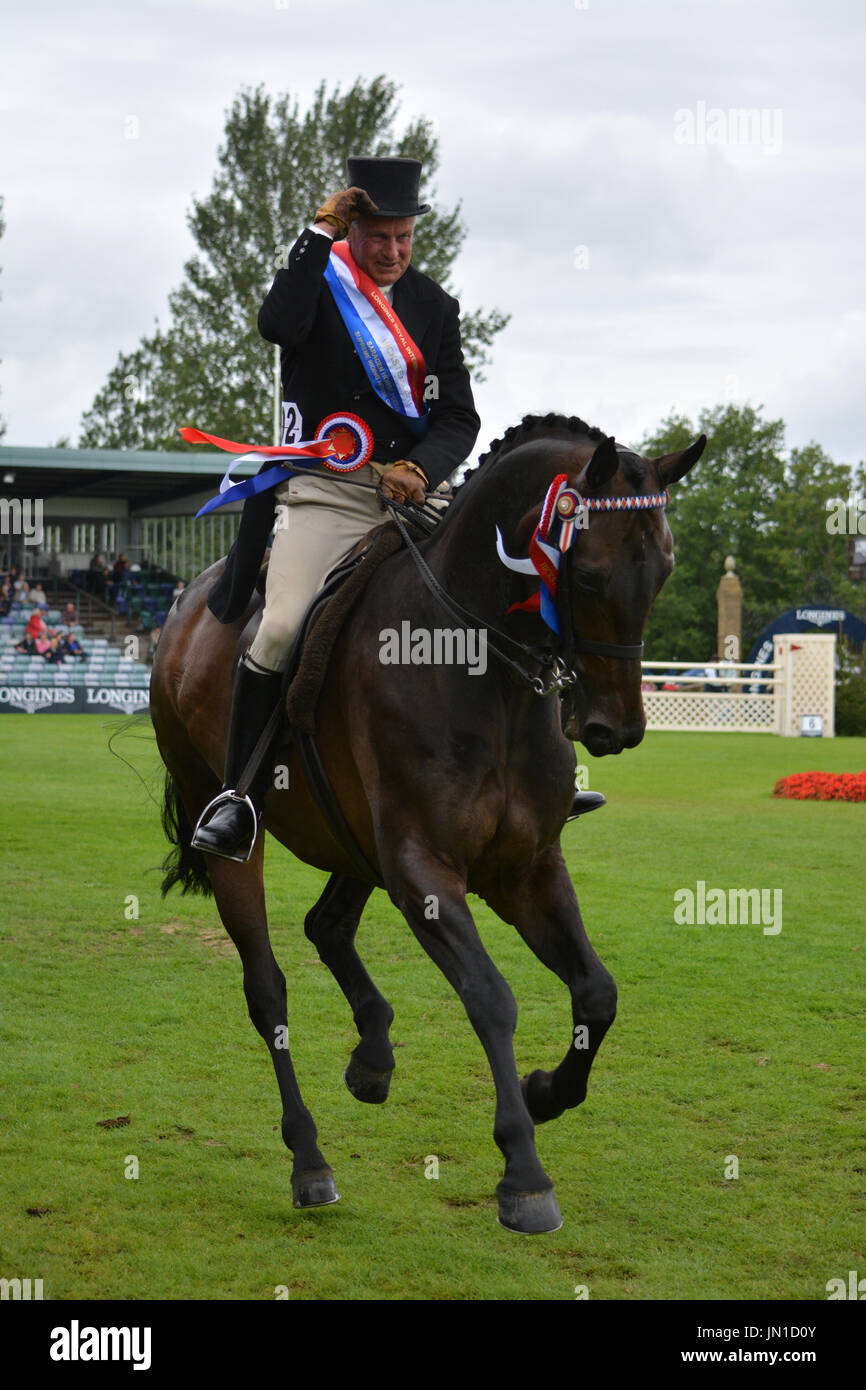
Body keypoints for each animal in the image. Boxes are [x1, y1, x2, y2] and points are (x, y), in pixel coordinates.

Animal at [150, 412, 705, 1234]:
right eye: (590, 575)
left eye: (663, 570)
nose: (617, 729)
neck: (482, 670)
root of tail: (188, 604)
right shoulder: (425, 870)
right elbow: (492, 997)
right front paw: (524, 1173)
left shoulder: (525, 868)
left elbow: (597, 992)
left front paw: (546, 1093)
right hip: (235, 838)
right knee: (267, 988)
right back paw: (309, 1161)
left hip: (355, 843)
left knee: (326, 927)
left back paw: (373, 1058)